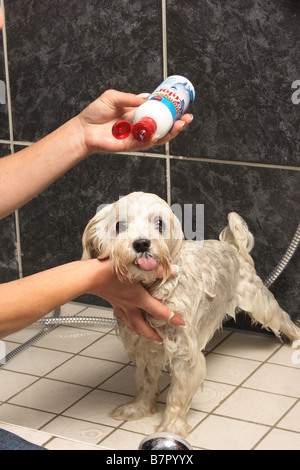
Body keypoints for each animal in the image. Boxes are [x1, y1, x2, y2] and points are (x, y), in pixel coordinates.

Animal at [81, 192, 298, 436]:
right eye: (120, 225)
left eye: (159, 224)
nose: (142, 243)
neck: (153, 289)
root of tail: (230, 245)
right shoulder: (144, 346)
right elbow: (145, 381)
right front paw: (139, 408)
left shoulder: (184, 352)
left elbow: (177, 395)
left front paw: (171, 427)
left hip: (260, 302)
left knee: (283, 318)